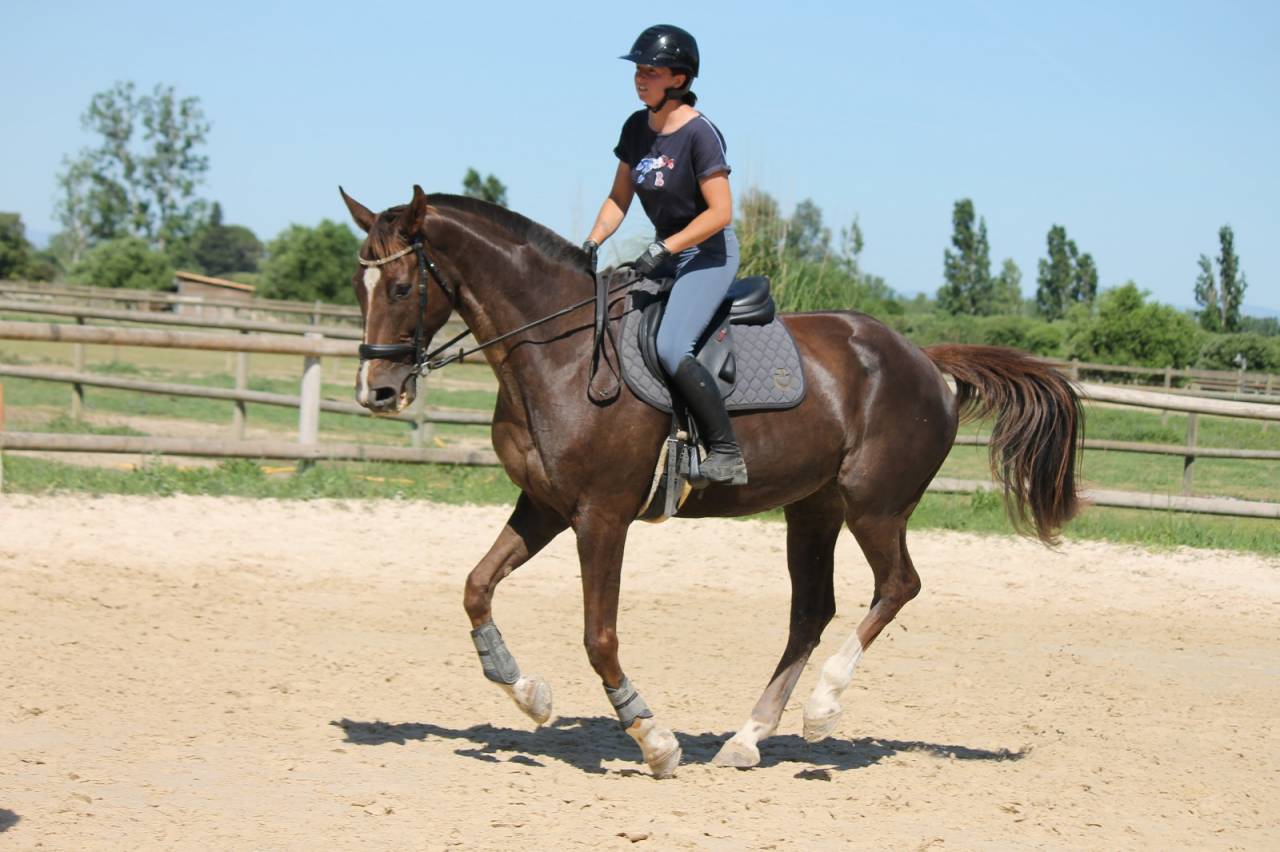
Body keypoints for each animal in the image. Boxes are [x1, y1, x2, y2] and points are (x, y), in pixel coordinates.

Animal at [340, 185, 1083, 778]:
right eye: (357, 288)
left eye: (401, 288)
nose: (377, 392)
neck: (559, 352)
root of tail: (924, 359)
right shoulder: (546, 506)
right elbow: (475, 588)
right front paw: (527, 693)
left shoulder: (601, 516)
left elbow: (599, 638)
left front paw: (653, 739)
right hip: (813, 510)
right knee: (811, 613)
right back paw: (748, 738)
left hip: (875, 507)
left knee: (897, 586)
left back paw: (823, 707)